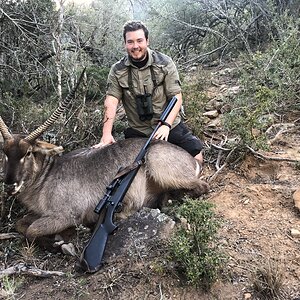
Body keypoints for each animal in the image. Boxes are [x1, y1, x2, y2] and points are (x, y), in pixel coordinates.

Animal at [0, 78, 209, 251]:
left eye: (28, 152)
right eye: (4, 153)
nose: (10, 185)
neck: (45, 178)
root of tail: (192, 160)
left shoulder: (65, 216)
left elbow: (31, 230)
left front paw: (58, 244)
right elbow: (21, 224)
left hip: (156, 162)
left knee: (202, 187)